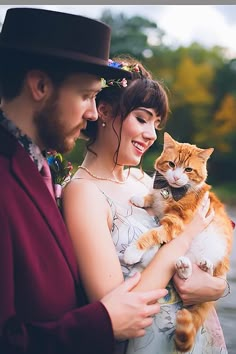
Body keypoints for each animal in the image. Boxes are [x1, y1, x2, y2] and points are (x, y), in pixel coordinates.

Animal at [124, 132, 233, 352]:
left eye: (188, 169)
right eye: (171, 164)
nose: (175, 177)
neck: (171, 190)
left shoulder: (174, 223)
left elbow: (152, 234)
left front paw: (133, 251)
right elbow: (152, 198)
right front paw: (141, 197)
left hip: (217, 252)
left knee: (209, 272)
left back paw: (202, 265)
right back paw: (182, 266)